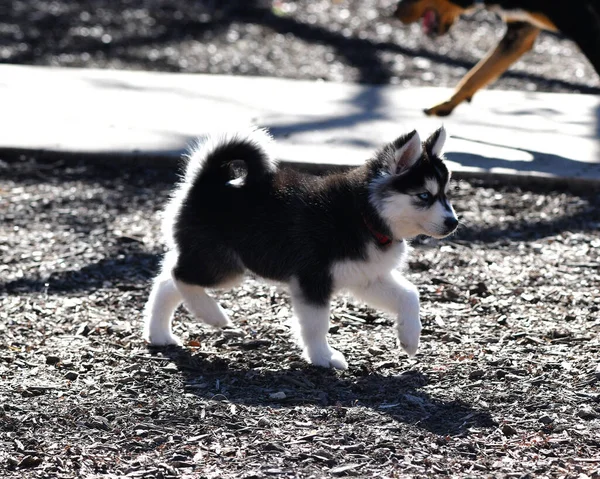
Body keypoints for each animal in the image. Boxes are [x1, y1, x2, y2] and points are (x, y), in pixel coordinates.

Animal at [145, 125, 460, 370]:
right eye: (424, 196)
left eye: (446, 194)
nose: (454, 222)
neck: (364, 213)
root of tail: (207, 182)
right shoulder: (313, 278)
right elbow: (317, 324)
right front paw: (323, 357)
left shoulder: (367, 277)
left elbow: (410, 294)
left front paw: (410, 338)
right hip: (225, 266)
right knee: (178, 275)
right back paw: (211, 314)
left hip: (209, 257)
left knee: (166, 281)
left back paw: (159, 334)